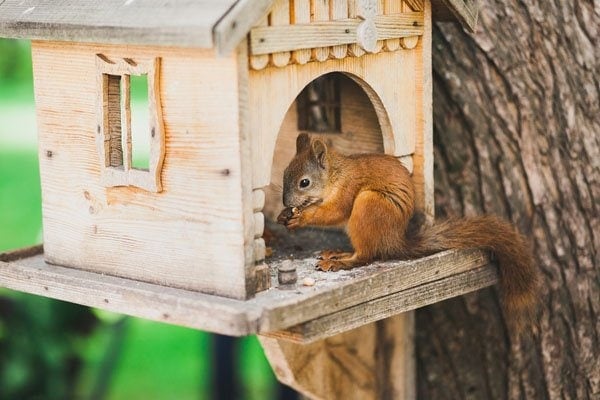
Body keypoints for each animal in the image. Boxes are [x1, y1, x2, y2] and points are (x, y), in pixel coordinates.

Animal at [276, 134, 540, 334]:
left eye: (304, 182)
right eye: (284, 173)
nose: (286, 202)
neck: (335, 174)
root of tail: (394, 240)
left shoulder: (347, 191)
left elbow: (334, 212)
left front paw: (301, 217)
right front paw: (284, 215)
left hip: (368, 205)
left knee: (366, 255)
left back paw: (340, 262)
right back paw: (337, 252)